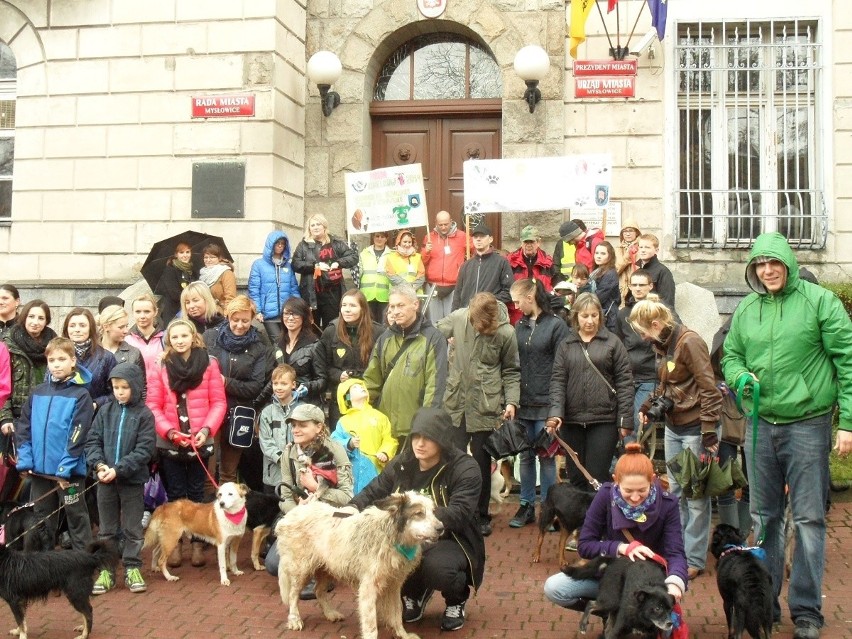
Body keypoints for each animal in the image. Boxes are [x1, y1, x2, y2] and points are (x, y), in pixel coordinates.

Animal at [276, 492, 442, 639]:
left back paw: (330, 614)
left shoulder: (394, 584)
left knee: (318, 591)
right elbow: (371, 625)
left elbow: (396, 614)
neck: (390, 535)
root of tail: (291, 513)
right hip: (302, 569)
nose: (441, 528)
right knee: (292, 595)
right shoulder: (368, 587)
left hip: (327, 568)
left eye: (433, 512)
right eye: (419, 513)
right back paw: (295, 619)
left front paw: (403, 635)